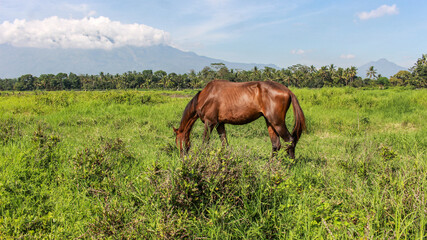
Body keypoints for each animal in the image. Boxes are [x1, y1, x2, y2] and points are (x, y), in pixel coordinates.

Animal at [174, 80, 308, 158]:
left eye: (178, 141)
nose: (182, 158)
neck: (206, 96)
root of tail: (287, 90)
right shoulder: (219, 124)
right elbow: (224, 143)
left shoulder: (210, 123)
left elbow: (204, 142)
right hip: (270, 122)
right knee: (276, 144)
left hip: (277, 122)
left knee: (290, 141)